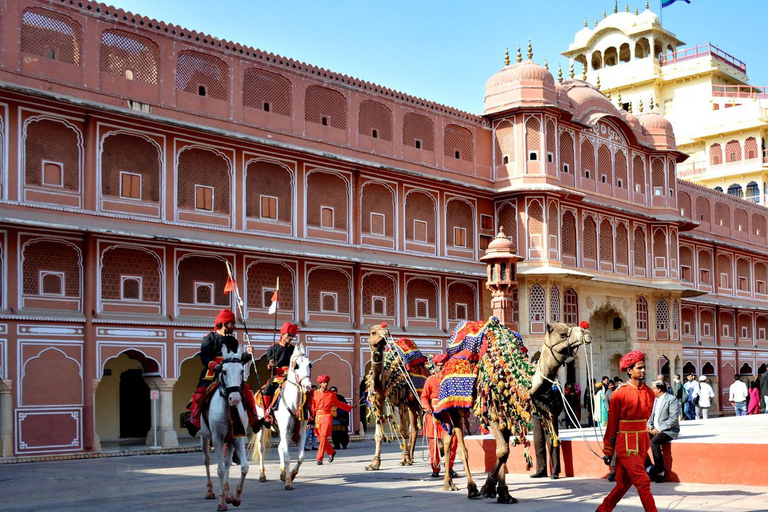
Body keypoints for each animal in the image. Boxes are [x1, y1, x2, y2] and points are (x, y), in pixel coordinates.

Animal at [200, 344, 250, 512]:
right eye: (224, 371)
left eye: (241, 371)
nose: (234, 399)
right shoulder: (217, 438)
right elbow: (220, 470)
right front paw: (221, 502)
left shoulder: (238, 437)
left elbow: (244, 467)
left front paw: (236, 497)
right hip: (205, 436)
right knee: (207, 460)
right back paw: (210, 491)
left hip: (230, 440)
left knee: (228, 462)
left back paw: (228, 493)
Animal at [254, 346, 310, 490]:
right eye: (296, 366)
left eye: (310, 365)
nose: (307, 386)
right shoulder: (285, 429)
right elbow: (287, 457)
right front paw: (289, 482)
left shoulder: (300, 430)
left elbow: (301, 457)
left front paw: (292, 474)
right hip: (262, 426)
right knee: (261, 448)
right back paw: (262, 474)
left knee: (280, 447)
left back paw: (283, 472)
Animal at [364, 324, 428, 472]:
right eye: (373, 332)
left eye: (384, 329)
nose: (385, 332)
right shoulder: (379, 399)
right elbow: (378, 435)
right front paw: (374, 463)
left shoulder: (401, 399)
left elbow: (403, 430)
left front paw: (404, 459)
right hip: (412, 403)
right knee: (414, 428)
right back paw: (412, 457)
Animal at [436, 318, 592, 502]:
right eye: (562, 333)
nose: (585, 331)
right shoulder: (493, 411)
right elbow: (502, 451)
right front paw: (487, 487)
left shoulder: (507, 413)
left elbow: (505, 451)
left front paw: (503, 494)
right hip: (455, 403)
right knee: (462, 448)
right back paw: (471, 488)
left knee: (448, 439)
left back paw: (449, 484)